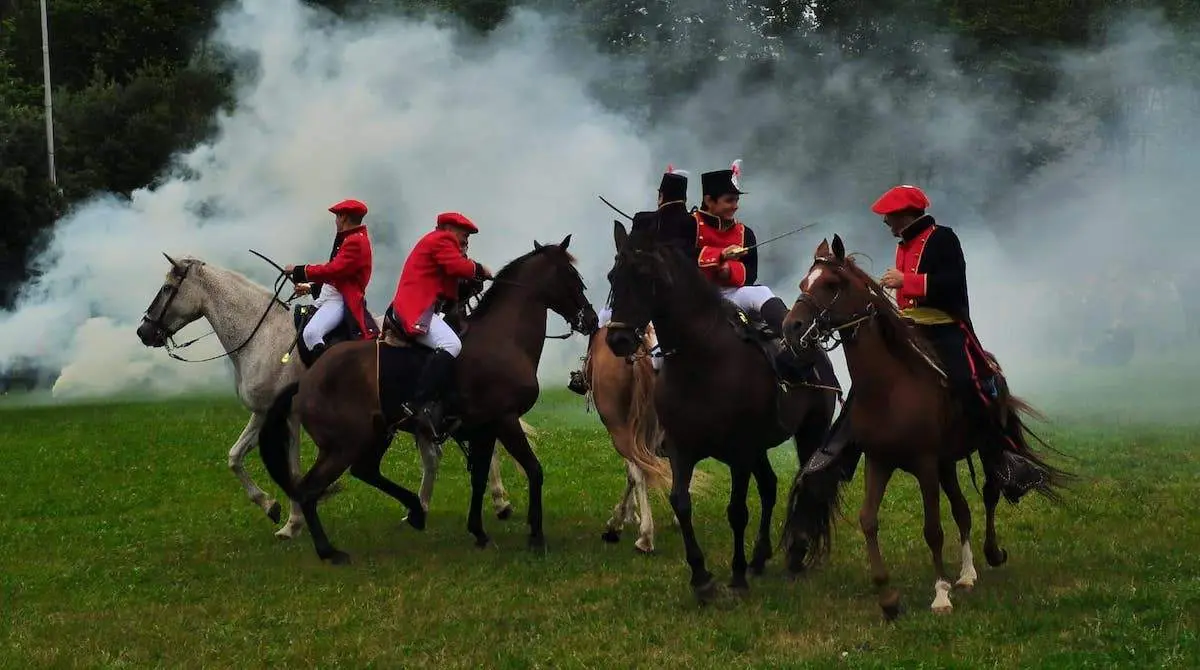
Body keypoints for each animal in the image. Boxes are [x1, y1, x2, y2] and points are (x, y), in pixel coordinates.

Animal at [136, 254, 520, 542]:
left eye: (167, 287)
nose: (144, 331)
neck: (264, 336)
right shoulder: (263, 414)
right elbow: (234, 457)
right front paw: (270, 505)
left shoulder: (287, 418)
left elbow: (290, 466)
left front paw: (292, 522)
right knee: (434, 457)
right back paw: (422, 508)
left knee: (483, 449)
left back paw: (499, 502)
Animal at [259, 238, 600, 564]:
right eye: (572, 276)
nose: (591, 319)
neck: (502, 339)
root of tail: (306, 382)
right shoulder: (505, 421)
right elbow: (533, 470)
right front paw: (536, 536)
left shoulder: (485, 429)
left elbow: (480, 478)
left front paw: (479, 532)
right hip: (344, 445)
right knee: (309, 490)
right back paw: (330, 551)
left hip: (374, 435)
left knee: (363, 472)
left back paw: (414, 510)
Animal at [604, 220, 840, 605]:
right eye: (613, 276)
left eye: (644, 275)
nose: (618, 340)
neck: (703, 360)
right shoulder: (682, 450)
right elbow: (681, 503)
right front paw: (701, 578)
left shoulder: (739, 453)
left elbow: (737, 511)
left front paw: (737, 576)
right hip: (760, 449)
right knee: (770, 487)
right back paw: (760, 557)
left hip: (809, 434)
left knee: (805, 487)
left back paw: (794, 556)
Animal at [782, 236, 1075, 619]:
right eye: (804, 283)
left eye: (831, 284)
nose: (791, 328)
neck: (890, 388)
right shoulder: (880, 461)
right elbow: (868, 520)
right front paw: (889, 599)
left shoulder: (924, 464)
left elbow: (933, 529)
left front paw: (940, 594)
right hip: (947, 464)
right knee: (963, 510)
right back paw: (966, 574)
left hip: (983, 447)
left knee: (990, 492)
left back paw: (989, 555)